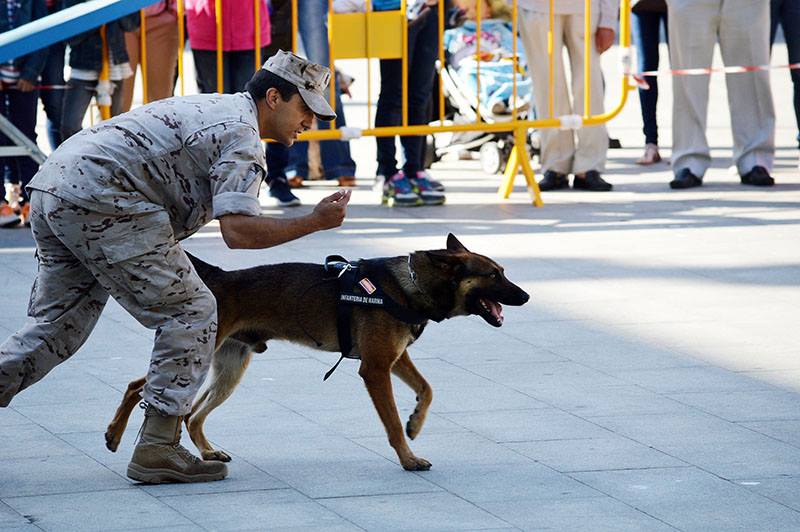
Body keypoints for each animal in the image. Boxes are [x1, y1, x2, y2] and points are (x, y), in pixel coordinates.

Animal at [108, 233, 532, 470]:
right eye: (494, 275)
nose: (527, 297)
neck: (409, 285)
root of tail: (221, 278)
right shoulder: (375, 369)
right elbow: (392, 424)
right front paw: (408, 457)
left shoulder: (395, 359)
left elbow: (426, 389)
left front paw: (416, 422)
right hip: (198, 353)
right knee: (138, 387)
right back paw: (114, 435)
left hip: (229, 370)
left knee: (192, 415)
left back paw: (207, 453)